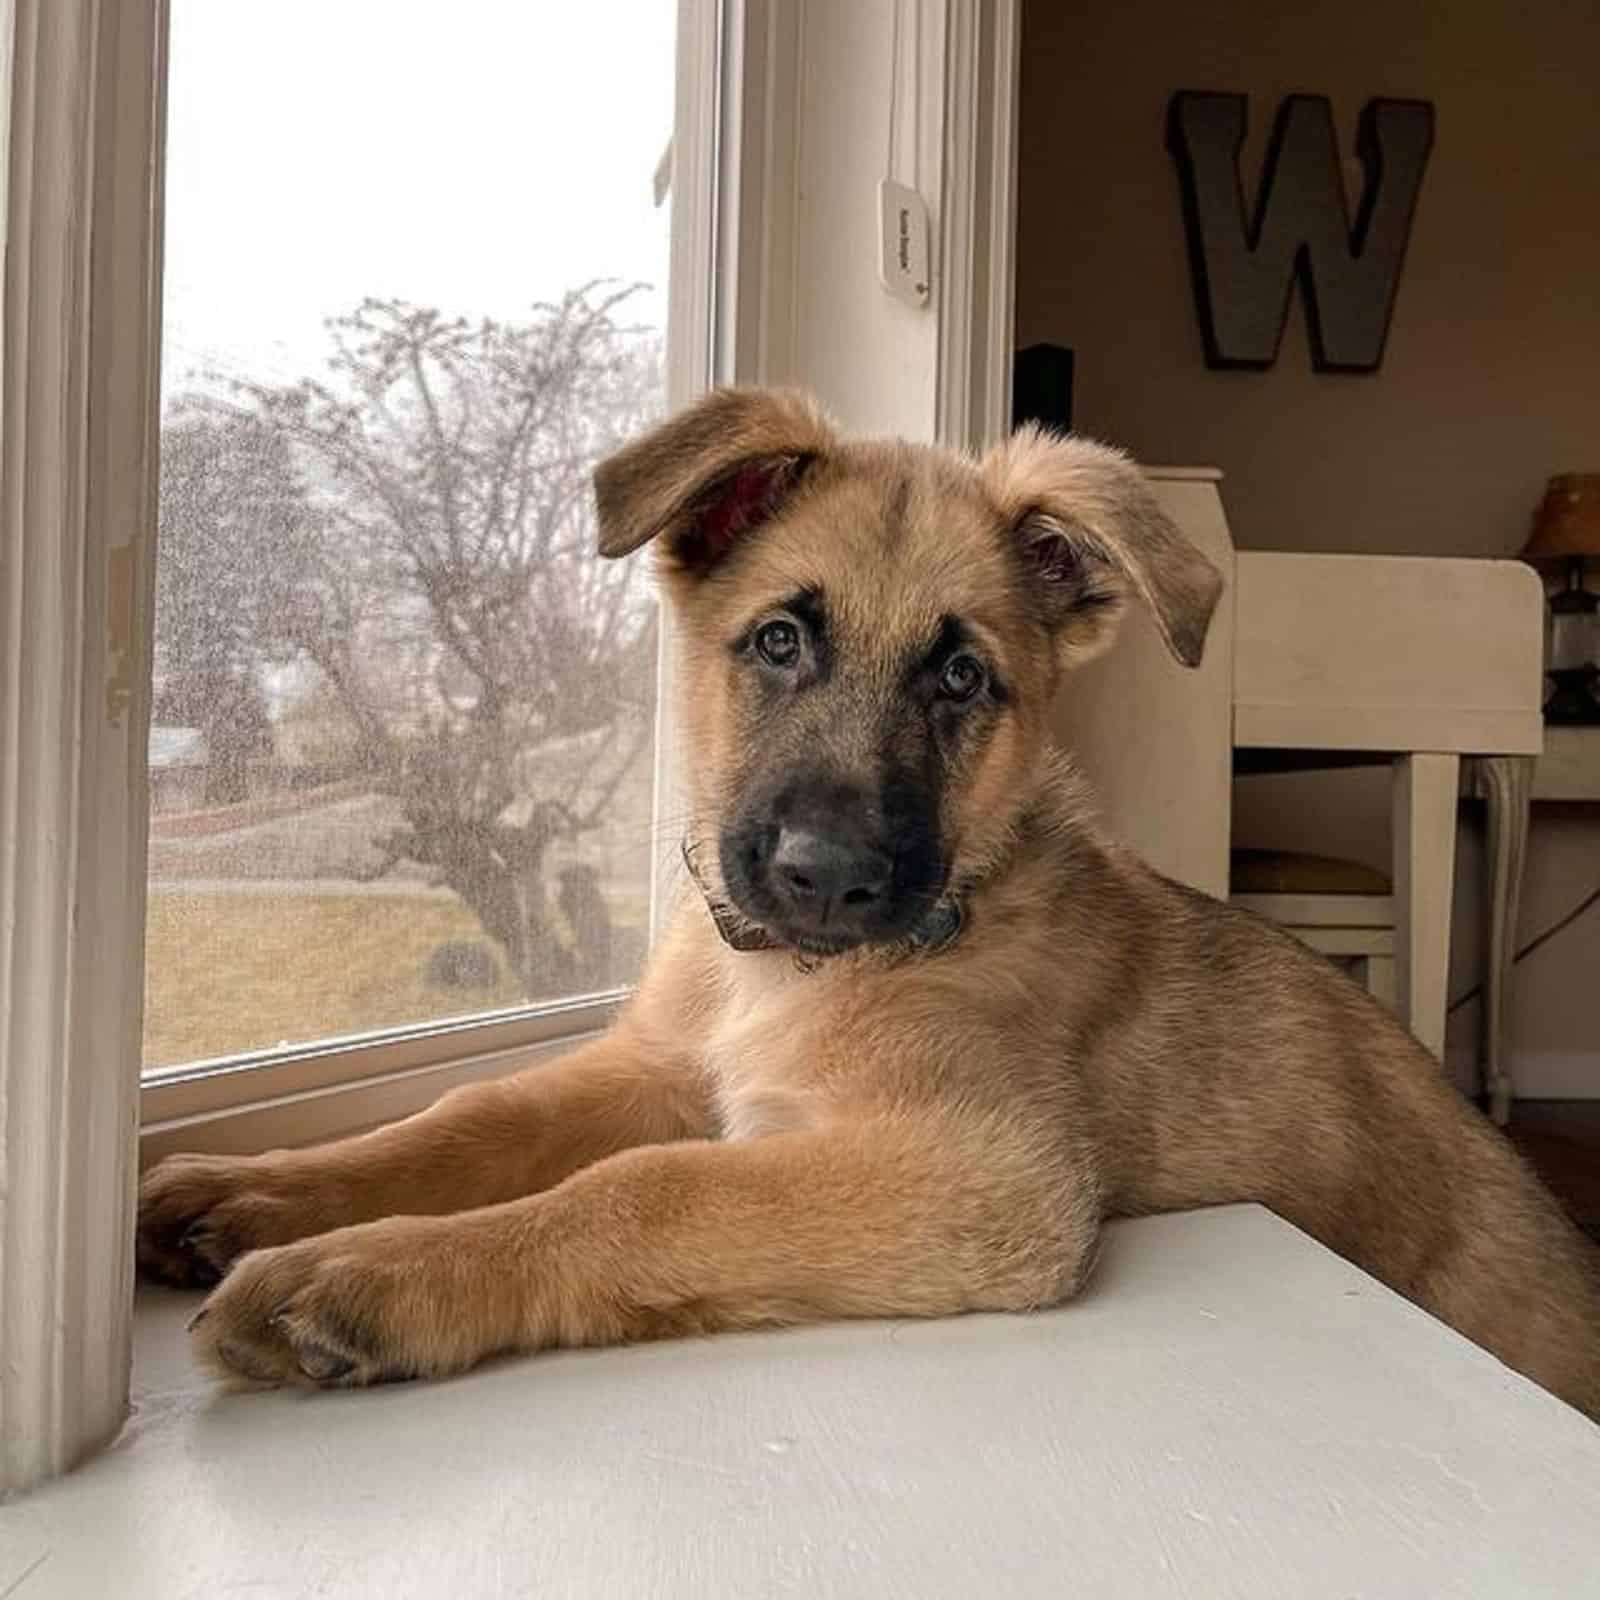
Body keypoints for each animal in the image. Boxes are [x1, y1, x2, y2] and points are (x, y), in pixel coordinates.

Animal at [140, 384, 1600, 1414]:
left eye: (960, 679)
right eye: (781, 640)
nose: (825, 878)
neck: (783, 975)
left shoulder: (986, 1174)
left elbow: (643, 1192)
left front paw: (369, 1277)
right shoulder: (659, 1066)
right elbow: (469, 1117)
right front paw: (254, 1188)